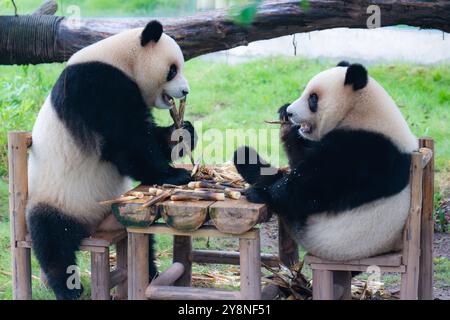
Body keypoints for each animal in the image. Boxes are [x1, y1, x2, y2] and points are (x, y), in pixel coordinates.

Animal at [27, 20, 196, 300]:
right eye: (172, 70)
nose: (186, 91)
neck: (122, 58)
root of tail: (91, 228)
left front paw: (183, 133)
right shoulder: (98, 85)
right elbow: (127, 141)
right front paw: (174, 174)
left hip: (119, 214)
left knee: (143, 241)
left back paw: (151, 273)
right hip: (55, 197)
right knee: (50, 238)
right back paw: (68, 288)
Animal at [236, 62, 418, 262]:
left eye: (313, 99)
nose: (291, 112)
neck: (361, 111)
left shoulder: (367, 151)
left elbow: (313, 185)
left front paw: (262, 194)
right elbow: (300, 160)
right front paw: (284, 115)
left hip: (322, 233)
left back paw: (248, 164)